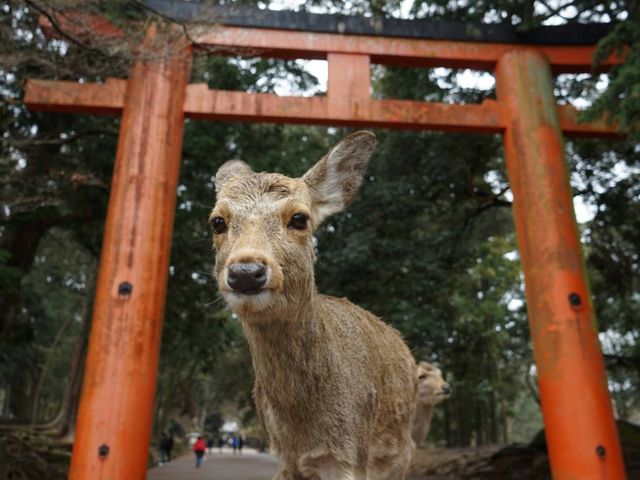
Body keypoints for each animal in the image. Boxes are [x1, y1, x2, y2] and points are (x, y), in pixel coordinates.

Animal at [209, 131, 416, 480]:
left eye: (299, 218)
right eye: (218, 222)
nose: (246, 272)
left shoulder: (351, 457)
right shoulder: (285, 458)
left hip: (402, 453)